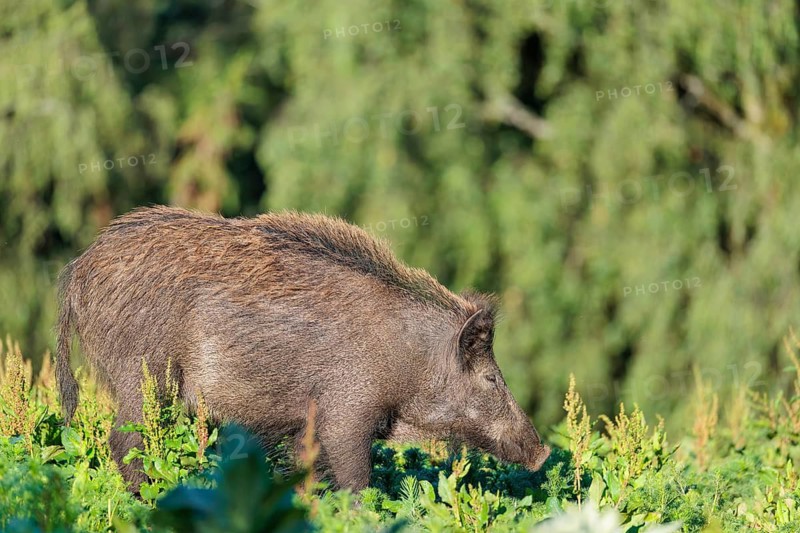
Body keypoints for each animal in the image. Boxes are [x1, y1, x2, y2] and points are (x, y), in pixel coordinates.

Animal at [56, 206, 550, 490]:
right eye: (491, 377)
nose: (543, 453)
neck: (411, 361)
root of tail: (78, 269)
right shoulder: (346, 412)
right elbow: (354, 480)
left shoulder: (304, 424)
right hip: (141, 374)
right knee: (125, 441)